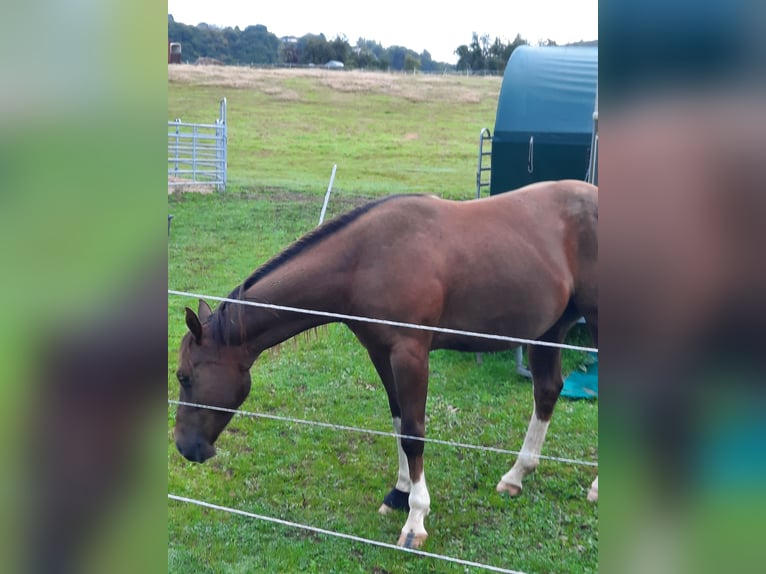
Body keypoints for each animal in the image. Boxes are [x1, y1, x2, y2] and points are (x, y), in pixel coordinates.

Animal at [173, 179, 598, 549]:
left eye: (185, 376)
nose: (185, 447)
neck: (366, 258)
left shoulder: (411, 354)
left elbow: (413, 432)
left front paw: (416, 519)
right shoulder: (380, 352)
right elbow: (397, 421)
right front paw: (399, 492)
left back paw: (594, 487)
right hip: (548, 330)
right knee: (547, 391)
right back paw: (516, 475)